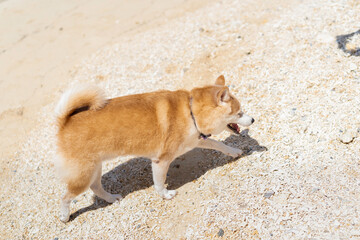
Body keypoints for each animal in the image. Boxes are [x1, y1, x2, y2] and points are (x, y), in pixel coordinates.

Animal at [54, 76, 255, 222]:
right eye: (239, 113)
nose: (253, 119)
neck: (190, 113)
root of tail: (65, 122)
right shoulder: (161, 160)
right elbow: (159, 182)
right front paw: (166, 195)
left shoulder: (197, 139)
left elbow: (218, 144)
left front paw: (234, 152)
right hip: (84, 174)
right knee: (65, 197)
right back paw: (64, 216)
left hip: (94, 169)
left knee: (96, 187)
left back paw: (111, 198)